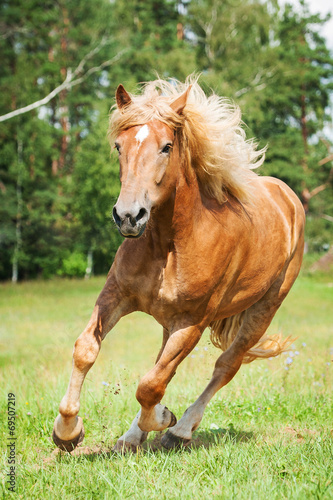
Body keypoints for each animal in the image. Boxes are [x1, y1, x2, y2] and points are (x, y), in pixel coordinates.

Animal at [52, 76, 304, 452]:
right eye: (119, 146)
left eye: (166, 147)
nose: (129, 216)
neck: (169, 245)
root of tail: (287, 197)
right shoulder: (115, 295)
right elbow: (87, 350)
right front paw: (67, 431)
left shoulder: (191, 323)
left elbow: (151, 385)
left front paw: (164, 419)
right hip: (170, 322)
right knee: (164, 367)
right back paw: (132, 436)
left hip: (263, 310)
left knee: (225, 366)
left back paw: (180, 429)